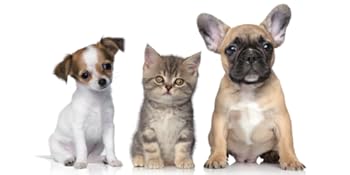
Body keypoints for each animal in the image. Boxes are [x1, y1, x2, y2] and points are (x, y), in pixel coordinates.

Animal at [49, 37, 124, 169]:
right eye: (85, 75)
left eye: (107, 66)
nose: (102, 81)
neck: (96, 100)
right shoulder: (79, 128)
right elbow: (82, 147)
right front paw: (81, 163)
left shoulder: (108, 126)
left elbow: (110, 146)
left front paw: (112, 160)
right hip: (54, 142)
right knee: (60, 156)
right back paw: (70, 159)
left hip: (99, 142)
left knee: (92, 157)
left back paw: (102, 159)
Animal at [198, 4, 304, 171]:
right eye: (231, 49)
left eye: (267, 46)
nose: (251, 55)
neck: (249, 88)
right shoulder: (220, 119)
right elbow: (220, 140)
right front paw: (216, 157)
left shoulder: (282, 119)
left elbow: (287, 141)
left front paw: (291, 160)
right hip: (210, 134)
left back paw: (272, 155)